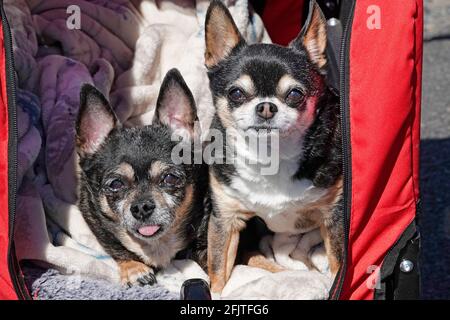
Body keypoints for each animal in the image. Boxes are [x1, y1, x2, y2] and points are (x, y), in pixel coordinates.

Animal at [76, 69, 209, 284]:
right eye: (115, 184)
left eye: (170, 178)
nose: (141, 207)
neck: (157, 245)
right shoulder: (90, 211)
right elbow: (114, 244)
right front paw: (133, 267)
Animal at [204, 0, 342, 292]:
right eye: (236, 93)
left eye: (295, 94)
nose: (266, 106)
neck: (269, 157)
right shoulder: (226, 219)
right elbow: (218, 268)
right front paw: (218, 293)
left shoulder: (333, 216)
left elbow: (339, 262)